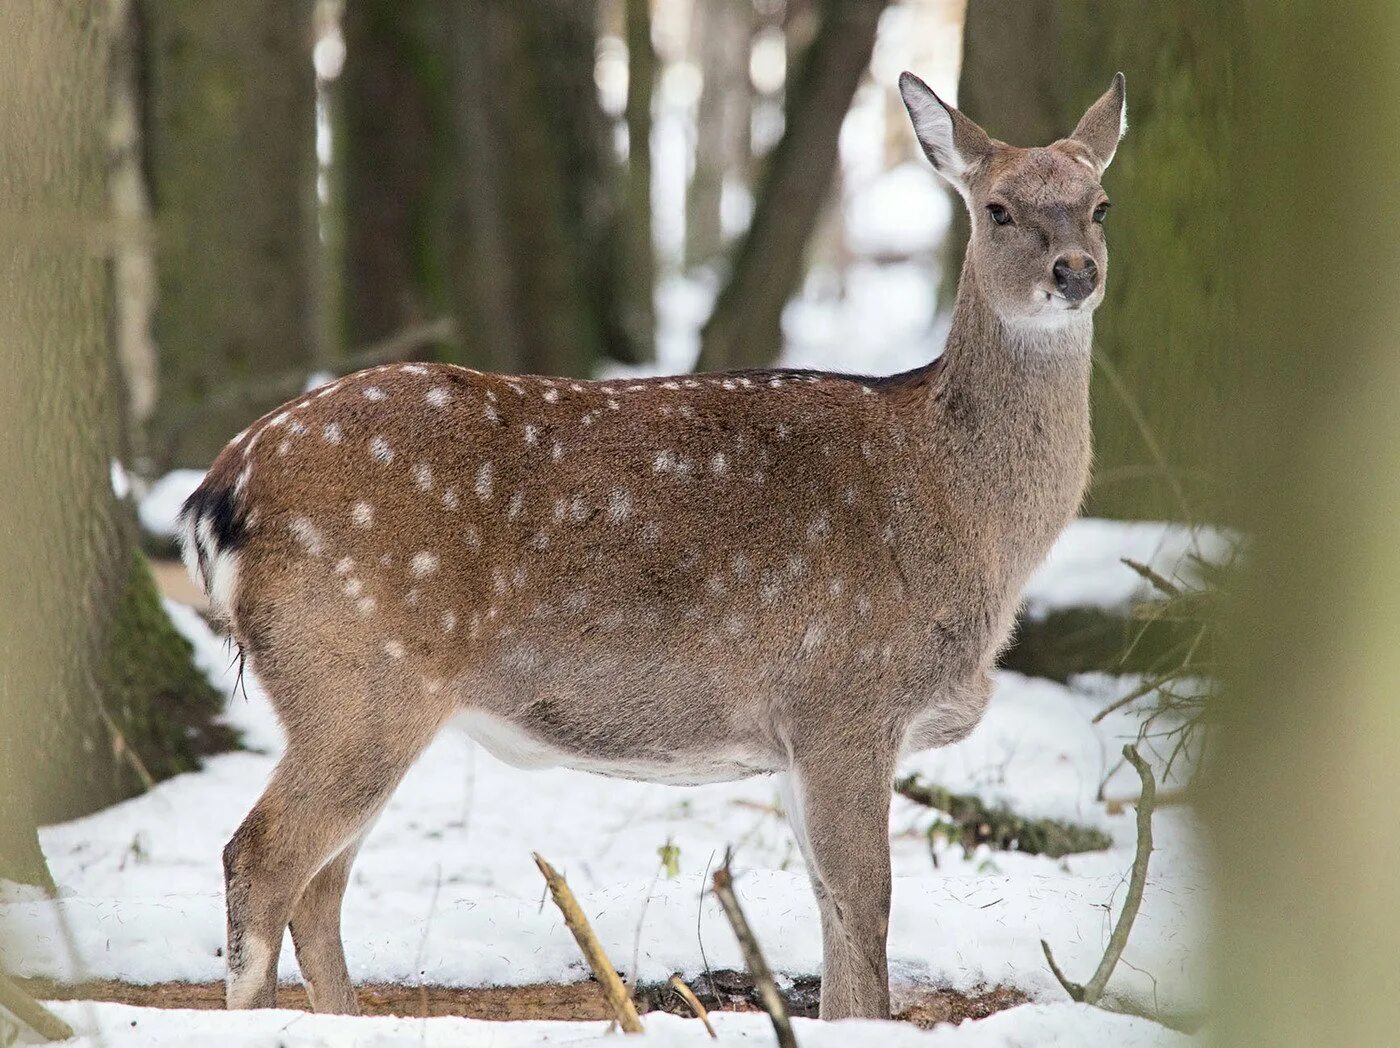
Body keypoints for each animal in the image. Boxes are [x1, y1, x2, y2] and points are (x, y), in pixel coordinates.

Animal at [183, 73, 1125, 1024]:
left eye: (1101, 205)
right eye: (997, 208)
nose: (1075, 272)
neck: (958, 513)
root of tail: (220, 491)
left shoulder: (801, 735)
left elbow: (834, 923)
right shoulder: (846, 695)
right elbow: (867, 915)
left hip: (357, 695)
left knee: (320, 885)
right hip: (358, 674)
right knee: (260, 859)